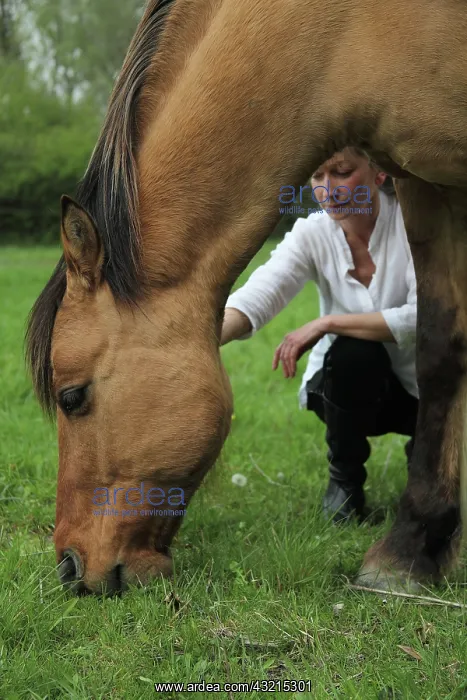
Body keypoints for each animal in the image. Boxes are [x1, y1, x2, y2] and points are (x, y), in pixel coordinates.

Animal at [26, 0, 467, 595]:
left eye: (71, 397)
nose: (69, 568)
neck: (349, 30)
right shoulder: (427, 186)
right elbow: (441, 347)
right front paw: (418, 547)